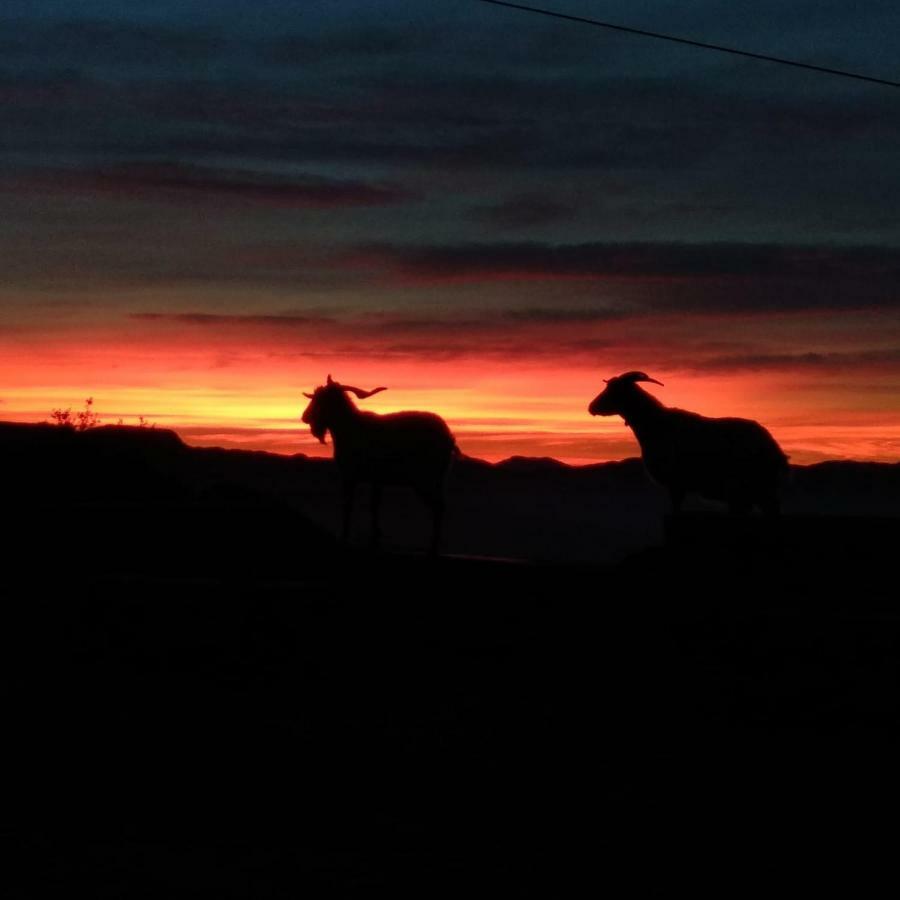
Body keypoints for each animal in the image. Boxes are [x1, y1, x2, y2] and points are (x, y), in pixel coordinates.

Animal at [302, 372, 458, 548]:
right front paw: (375, 535)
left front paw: (345, 536)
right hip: (436, 480)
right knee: (439, 506)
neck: (351, 428)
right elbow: (374, 505)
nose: (305, 417)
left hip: (425, 480)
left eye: (323, 399)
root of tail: (449, 437)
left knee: (438, 507)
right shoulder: (376, 480)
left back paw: (433, 544)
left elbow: (348, 505)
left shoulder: (350, 476)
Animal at [588, 370, 784, 512]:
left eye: (613, 391)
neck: (656, 424)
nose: (591, 407)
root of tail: (773, 447)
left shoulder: (675, 484)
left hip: (752, 487)